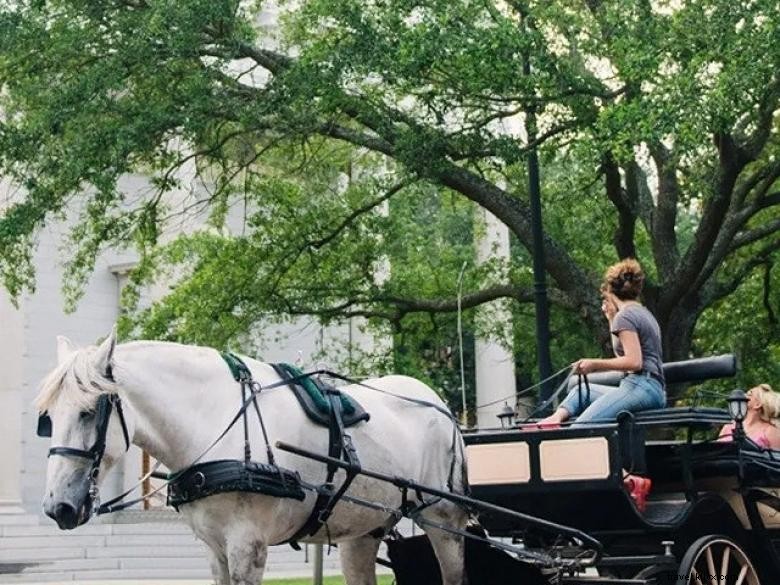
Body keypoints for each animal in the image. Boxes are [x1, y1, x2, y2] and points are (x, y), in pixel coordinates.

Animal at [36, 328, 466, 584]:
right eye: (48, 419)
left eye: (88, 412)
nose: (58, 507)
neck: (214, 421)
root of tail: (441, 406)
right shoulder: (214, 548)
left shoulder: (248, 545)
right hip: (363, 530)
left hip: (444, 521)